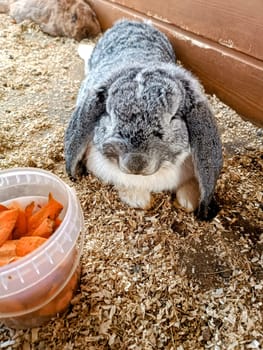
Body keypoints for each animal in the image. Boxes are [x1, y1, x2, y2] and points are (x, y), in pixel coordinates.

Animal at [64, 19, 223, 219]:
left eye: (173, 118)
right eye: (110, 115)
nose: (136, 164)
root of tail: (128, 22)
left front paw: (188, 202)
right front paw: (140, 200)